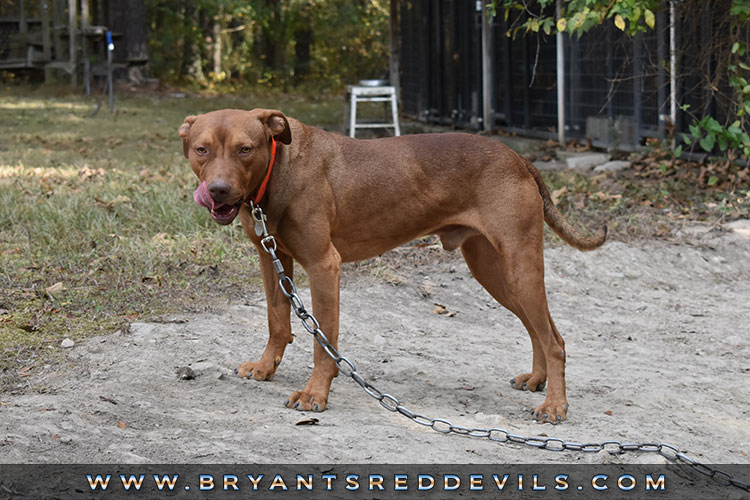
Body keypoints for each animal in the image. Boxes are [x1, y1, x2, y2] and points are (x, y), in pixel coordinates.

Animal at [179, 108, 608, 422]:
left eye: (245, 149)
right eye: (201, 150)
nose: (217, 191)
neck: (278, 169)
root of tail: (518, 157)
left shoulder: (323, 265)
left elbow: (323, 343)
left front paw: (315, 393)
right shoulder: (271, 259)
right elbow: (277, 320)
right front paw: (267, 366)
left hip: (519, 269)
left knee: (553, 340)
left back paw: (555, 406)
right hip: (495, 273)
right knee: (542, 329)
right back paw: (537, 379)